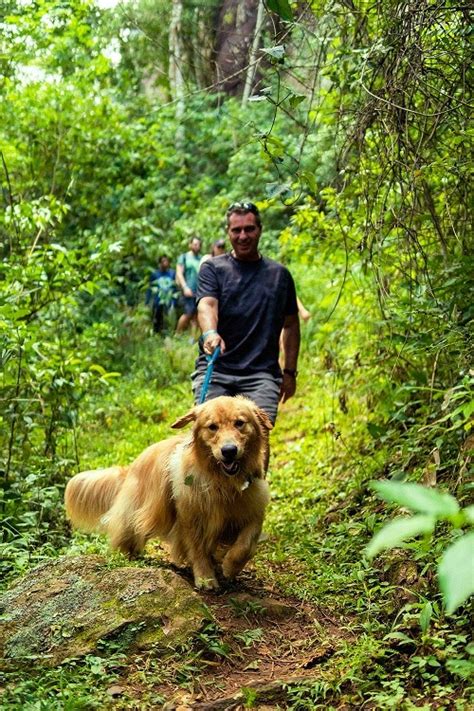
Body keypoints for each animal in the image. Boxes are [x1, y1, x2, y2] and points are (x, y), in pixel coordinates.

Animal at [64, 394, 270, 588]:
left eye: (240, 423)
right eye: (212, 427)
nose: (229, 451)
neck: (222, 482)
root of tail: (131, 467)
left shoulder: (253, 509)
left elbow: (246, 545)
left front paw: (230, 567)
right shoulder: (191, 516)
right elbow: (198, 549)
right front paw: (205, 577)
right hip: (137, 512)